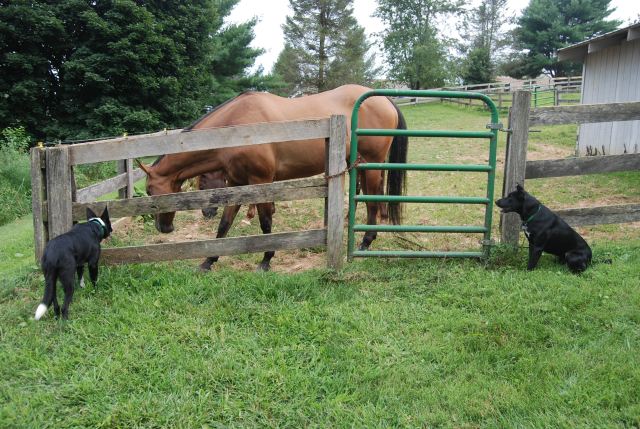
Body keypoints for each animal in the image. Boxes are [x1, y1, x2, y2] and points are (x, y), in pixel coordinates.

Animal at [137, 84, 408, 271]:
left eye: (150, 192)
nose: (164, 228)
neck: (238, 128)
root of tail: (383, 98)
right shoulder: (238, 184)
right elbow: (224, 224)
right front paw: (208, 260)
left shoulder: (262, 182)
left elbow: (266, 222)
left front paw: (266, 259)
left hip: (371, 164)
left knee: (373, 201)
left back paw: (366, 242)